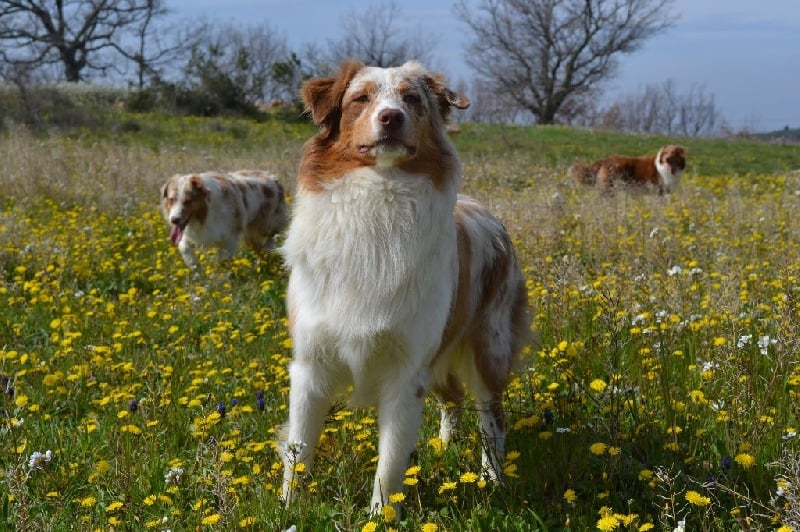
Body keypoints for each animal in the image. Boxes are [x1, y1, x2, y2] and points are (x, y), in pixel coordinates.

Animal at [159, 169, 288, 268]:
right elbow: (184, 247)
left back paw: (268, 250)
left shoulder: (230, 236)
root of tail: (273, 178)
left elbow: (222, 259)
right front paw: (194, 265)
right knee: (258, 247)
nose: (174, 220)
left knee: (271, 236)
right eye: (171, 200)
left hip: (265, 224)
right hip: (248, 235)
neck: (205, 214)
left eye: (188, 201)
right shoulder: (192, 233)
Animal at [282, 60, 532, 512]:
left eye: (412, 99)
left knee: (492, 417)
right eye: (361, 98)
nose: (391, 118)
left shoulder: (406, 369)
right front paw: (288, 508)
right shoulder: (311, 363)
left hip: (488, 347)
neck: (378, 198)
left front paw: (381, 515)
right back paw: (444, 447)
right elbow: (299, 449)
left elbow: (391, 460)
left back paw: (492, 480)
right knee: (453, 398)